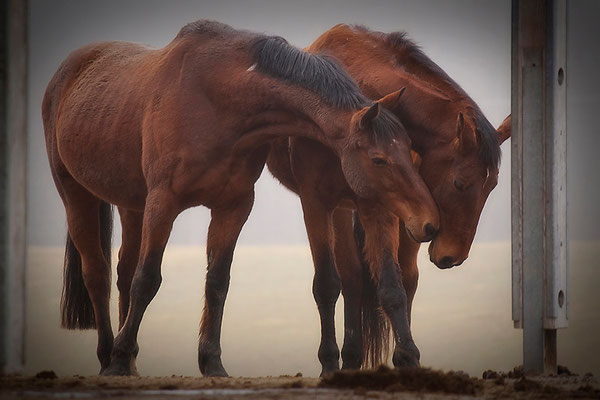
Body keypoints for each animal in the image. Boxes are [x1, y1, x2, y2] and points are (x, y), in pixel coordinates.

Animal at [41, 20, 436, 376]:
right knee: (98, 274)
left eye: (409, 148)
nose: (429, 222)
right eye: (378, 159)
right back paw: (109, 357)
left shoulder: (233, 206)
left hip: (131, 204)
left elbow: (217, 281)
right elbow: (148, 278)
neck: (216, 98)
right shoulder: (162, 203)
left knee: (122, 271)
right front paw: (121, 358)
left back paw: (130, 362)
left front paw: (211, 362)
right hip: (75, 194)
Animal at [268, 24, 510, 376]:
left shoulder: (385, 210)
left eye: (492, 186)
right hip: (343, 211)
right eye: (459, 183)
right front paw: (329, 363)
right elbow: (327, 284)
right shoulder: (316, 202)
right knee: (351, 277)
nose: (454, 256)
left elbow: (393, 285)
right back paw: (347, 360)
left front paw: (407, 356)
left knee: (397, 277)